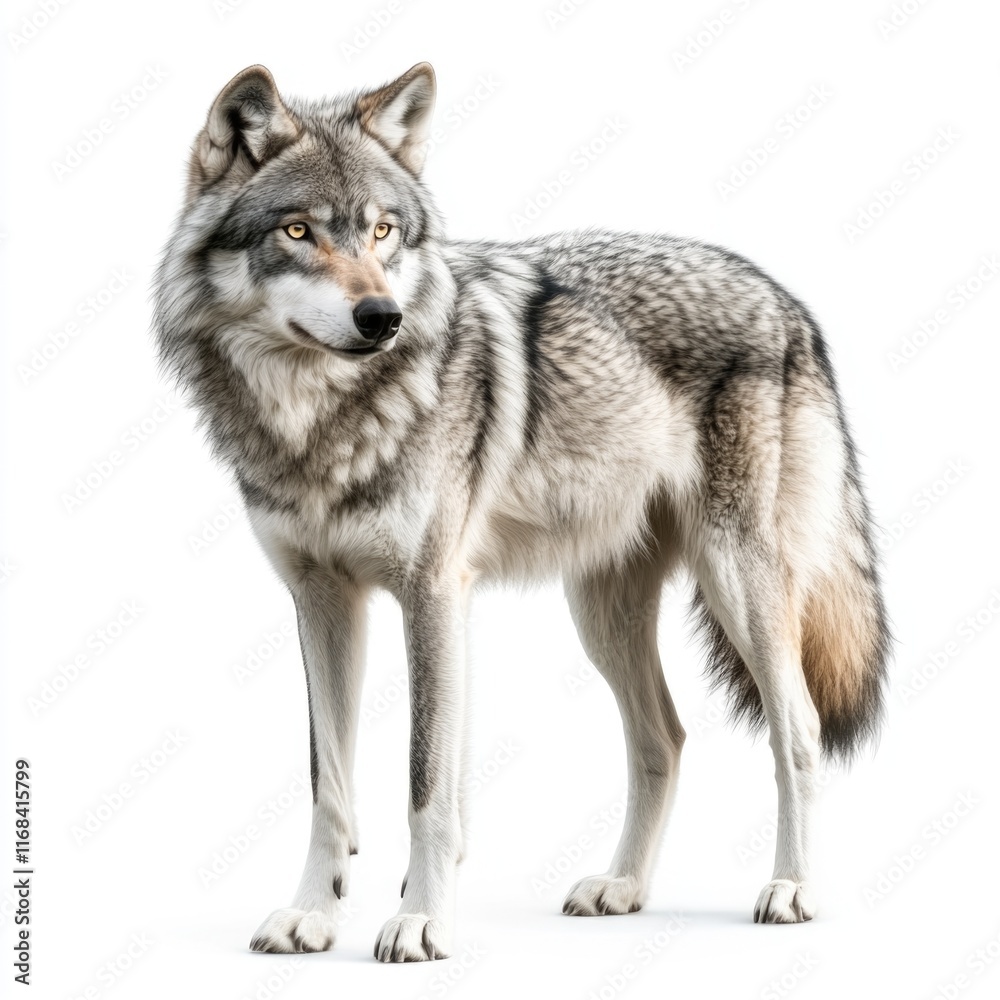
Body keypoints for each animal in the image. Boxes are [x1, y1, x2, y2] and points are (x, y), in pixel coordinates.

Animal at [153, 62, 890, 962]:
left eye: (383, 231)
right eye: (298, 231)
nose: (382, 318)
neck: (319, 420)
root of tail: (787, 299)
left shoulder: (433, 595)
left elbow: (427, 783)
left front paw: (421, 920)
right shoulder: (321, 601)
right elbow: (329, 783)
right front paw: (313, 917)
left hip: (738, 585)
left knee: (801, 730)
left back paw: (792, 889)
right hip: (601, 613)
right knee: (665, 738)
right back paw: (623, 888)